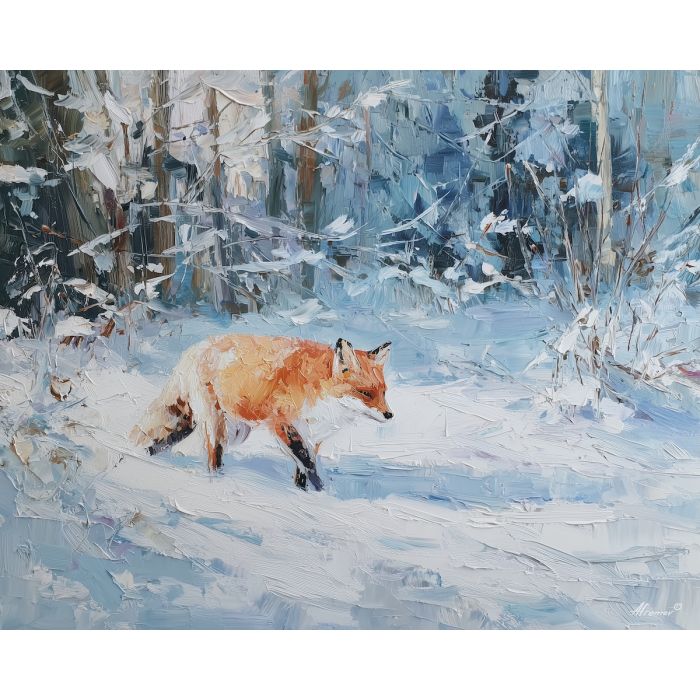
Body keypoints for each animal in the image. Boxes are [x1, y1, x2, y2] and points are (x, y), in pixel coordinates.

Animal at [129, 335, 393, 491]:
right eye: (365, 393)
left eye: (383, 392)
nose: (389, 416)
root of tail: (193, 349)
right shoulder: (282, 423)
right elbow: (308, 464)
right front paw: (323, 494)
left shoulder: (313, 436)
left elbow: (303, 469)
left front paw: (304, 496)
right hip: (217, 427)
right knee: (214, 458)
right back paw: (217, 484)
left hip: (228, 429)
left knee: (160, 441)